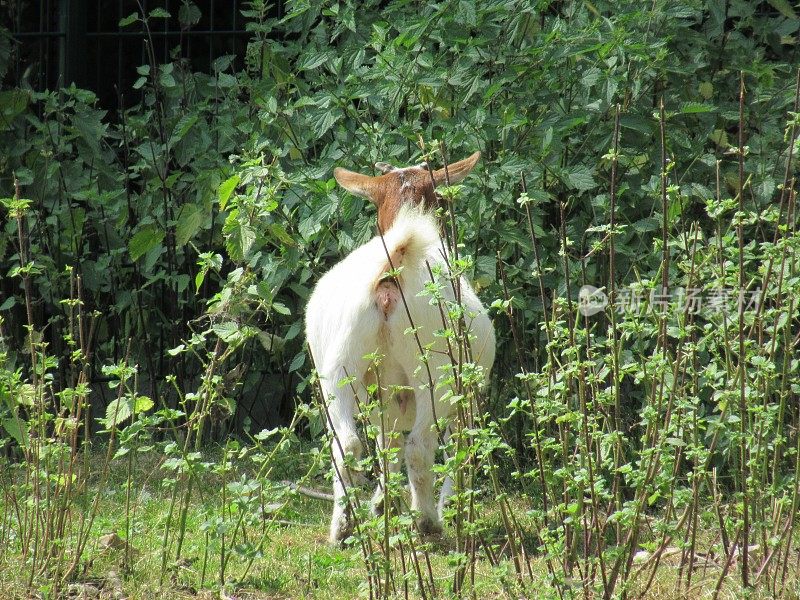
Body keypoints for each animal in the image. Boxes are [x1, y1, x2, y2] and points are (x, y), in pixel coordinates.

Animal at [304, 150, 494, 544]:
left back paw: (343, 528)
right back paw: (429, 522)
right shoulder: (467, 391)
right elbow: (461, 445)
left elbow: (385, 442)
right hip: (436, 368)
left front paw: (382, 504)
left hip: (339, 368)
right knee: (420, 447)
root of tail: (392, 271)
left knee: (348, 445)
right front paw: (450, 507)